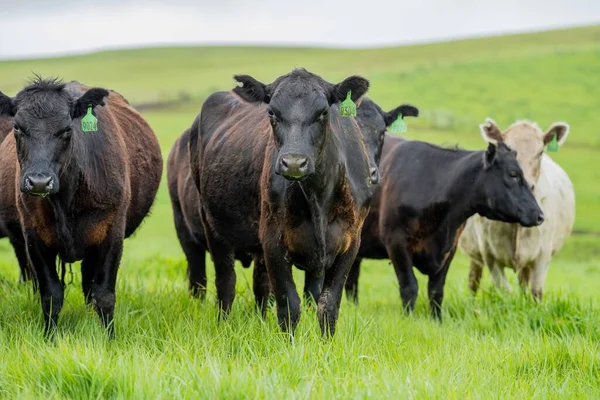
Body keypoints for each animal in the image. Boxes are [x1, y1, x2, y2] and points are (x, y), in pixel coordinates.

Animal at [190, 69, 372, 338]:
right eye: (272, 112)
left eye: (323, 112)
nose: (294, 163)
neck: (318, 200)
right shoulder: (274, 240)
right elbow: (289, 304)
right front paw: (291, 345)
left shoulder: (350, 242)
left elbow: (327, 305)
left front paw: (326, 344)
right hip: (212, 224)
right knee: (226, 283)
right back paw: (224, 326)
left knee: (261, 284)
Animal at [342, 138, 544, 318]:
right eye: (513, 175)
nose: (539, 215)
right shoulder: (396, 242)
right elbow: (410, 287)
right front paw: (408, 319)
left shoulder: (450, 248)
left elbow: (436, 291)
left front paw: (437, 320)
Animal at [460, 119, 576, 300]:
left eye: (540, 152)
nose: (526, 184)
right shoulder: (489, 254)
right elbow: (504, 290)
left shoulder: (542, 255)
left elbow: (536, 292)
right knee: (473, 280)